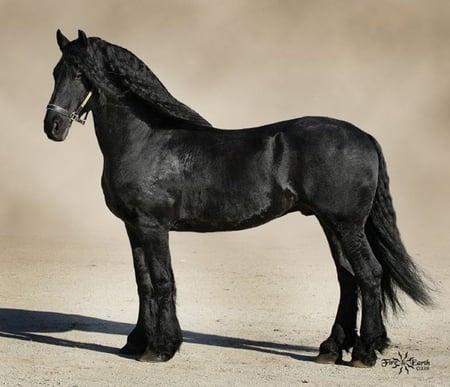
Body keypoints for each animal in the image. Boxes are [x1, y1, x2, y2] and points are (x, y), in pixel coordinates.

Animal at [43, 30, 432, 366]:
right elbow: (144, 283)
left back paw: (365, 352)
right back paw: (331, 349)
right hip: (332, 224)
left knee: (369, 274)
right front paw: (136, 343)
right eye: (56, 71)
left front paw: (161, 348)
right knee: (348, 278)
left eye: (80, 73)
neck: (147, 140)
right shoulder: (133, 228)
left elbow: (163, 281)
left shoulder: (153, 227)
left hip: (346, 224)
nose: (53, 127)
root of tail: (364, 135)